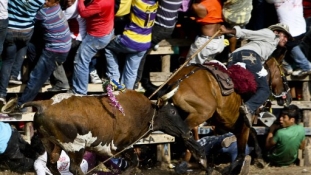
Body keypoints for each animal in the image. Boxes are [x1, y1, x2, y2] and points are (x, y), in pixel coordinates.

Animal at [16, 90, 207, 175]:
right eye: (173, 112)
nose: (188, 133)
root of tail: (45, 103)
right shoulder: (120, 146)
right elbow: (134, 162)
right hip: (75, 146)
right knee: (74, 168)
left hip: (51, 144)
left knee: (52, 165)